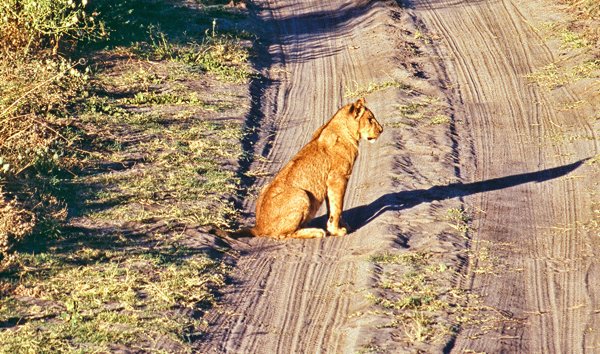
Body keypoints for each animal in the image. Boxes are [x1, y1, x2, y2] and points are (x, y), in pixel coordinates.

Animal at [227, 97, 382, 238]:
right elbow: (337, 207)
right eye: (370, 119)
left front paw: (340, 226)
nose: (381, 130)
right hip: (302, 194)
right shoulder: (337, 178)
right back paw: (316, 232)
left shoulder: (329, 183)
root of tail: (258, 227)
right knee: (285, 235)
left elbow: (332, 207)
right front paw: (337, 231)